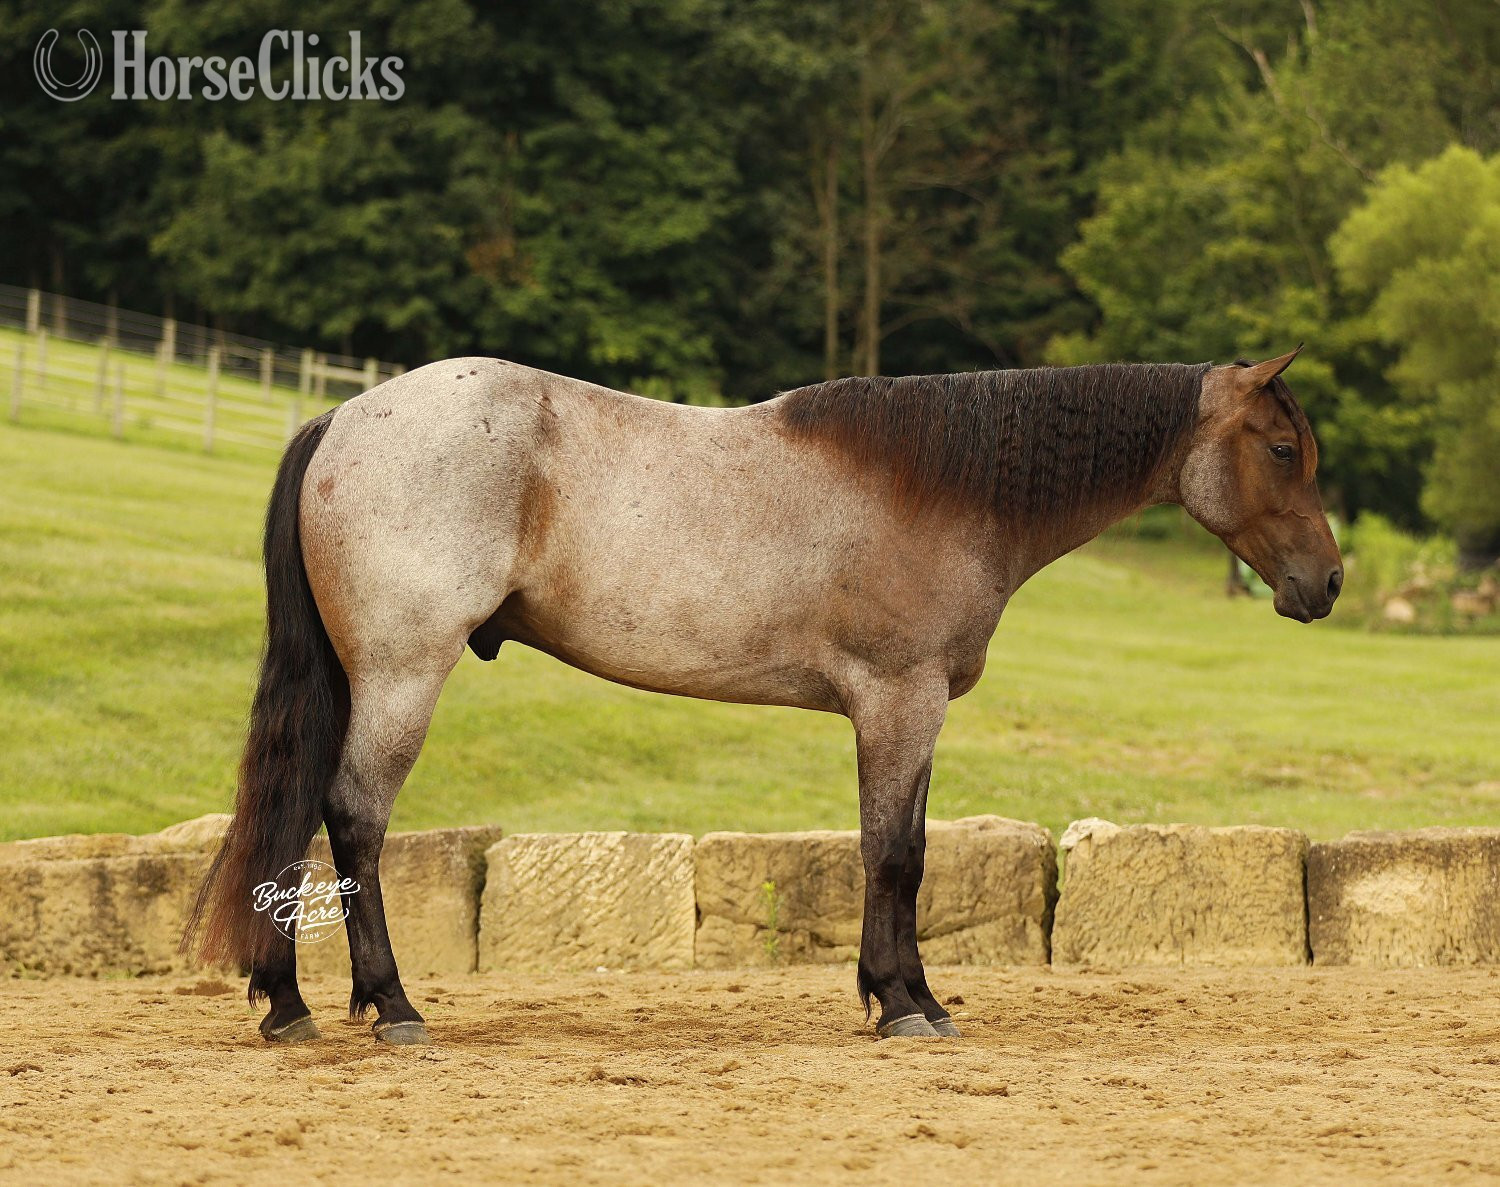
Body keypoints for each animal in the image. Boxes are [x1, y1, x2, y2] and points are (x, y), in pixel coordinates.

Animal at [185, 347, 1342, 1044]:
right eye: (1284, 448)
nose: (1327, 583)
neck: (941, 486)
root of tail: (346, 417)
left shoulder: (913, 712)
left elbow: (905, 849)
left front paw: (907, 993)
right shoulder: (899, 700)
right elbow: (894, 853)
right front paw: (902, 1004)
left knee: (300, 816)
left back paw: (287, 1002)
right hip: (400, 676)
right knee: (352, 817)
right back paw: (389, 1004)